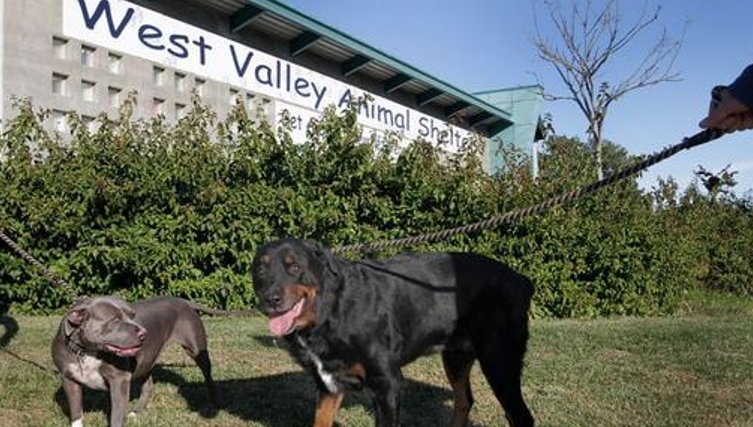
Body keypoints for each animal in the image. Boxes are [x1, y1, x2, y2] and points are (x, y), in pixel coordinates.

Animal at [50, 298, 217, 427]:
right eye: (115, 320)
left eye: (132, 315)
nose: (144, 333)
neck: (86, 351)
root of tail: (183, 300)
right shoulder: (69, 380)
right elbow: (76, 412)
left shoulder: (119, 381)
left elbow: (116, 416)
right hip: (146, 361)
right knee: (148, 385)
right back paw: (136, 412)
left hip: (196, 350)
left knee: (208, 376)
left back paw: (212, 404)